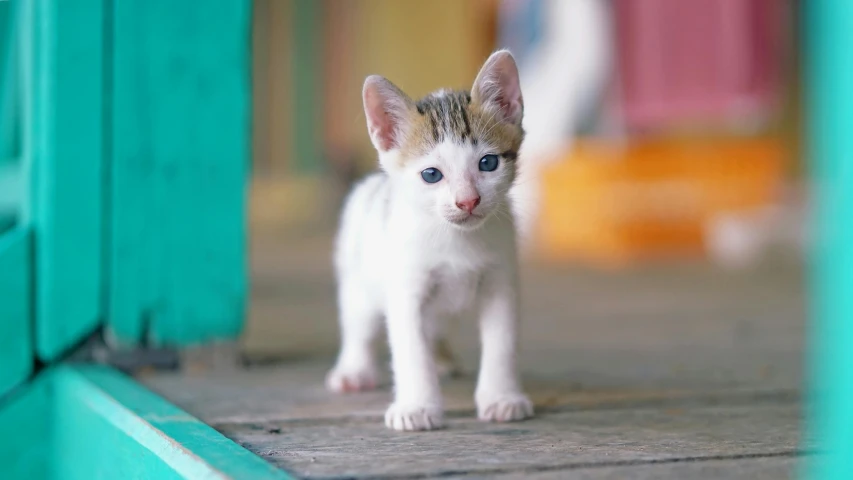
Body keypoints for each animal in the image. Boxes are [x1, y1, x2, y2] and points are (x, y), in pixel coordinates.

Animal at [326, 49, 532, 432]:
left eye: (488, 163)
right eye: (432, 175)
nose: (467, 201)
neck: (455, 240)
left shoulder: (501, 282)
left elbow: (502, 343)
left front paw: (501, 397)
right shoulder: (406, 290)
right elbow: (410, 350)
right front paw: (417, 406)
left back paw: (442, 359)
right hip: (359, 280)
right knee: (358, 324)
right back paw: (353, 370)